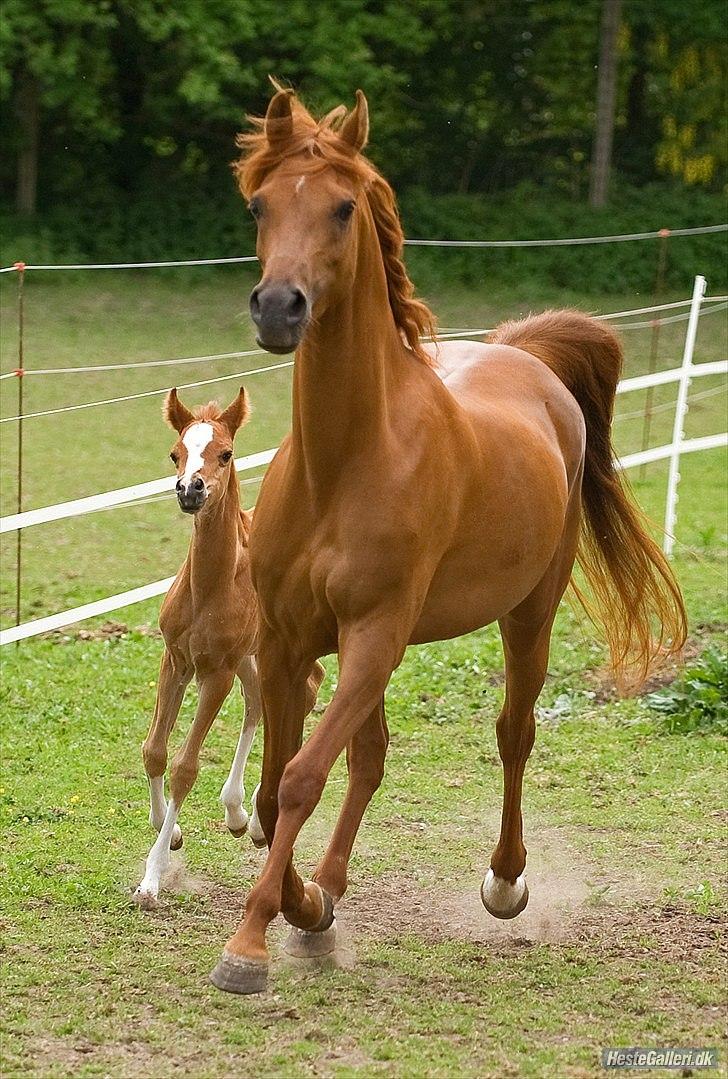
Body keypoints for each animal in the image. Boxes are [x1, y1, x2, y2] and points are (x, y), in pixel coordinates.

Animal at [133, 384, 321, 906]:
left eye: (226, 453)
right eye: (175, 453)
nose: (190, 490)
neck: (211, 584)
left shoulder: (214, 671)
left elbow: (184, 766)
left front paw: (153, 876)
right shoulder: (176, 659)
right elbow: (155, 750)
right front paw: (170, 832)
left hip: (276, 651)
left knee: (304, 694)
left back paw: (256, 816)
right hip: (251, 656)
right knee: (261, 702)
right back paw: (240, 813)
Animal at [209, 92, 690, 992]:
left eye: (344, 206)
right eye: (259, 205)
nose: (279, 308)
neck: (347, 459)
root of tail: (525, 357)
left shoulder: (374, 635)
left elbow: (299, 778)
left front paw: (251, 941)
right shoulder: (291, 641)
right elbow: (271, 790)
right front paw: (306, 909)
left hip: (526, 615)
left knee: (512, 732)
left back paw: (505, 880)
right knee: (371, 758)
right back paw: (326, 894)